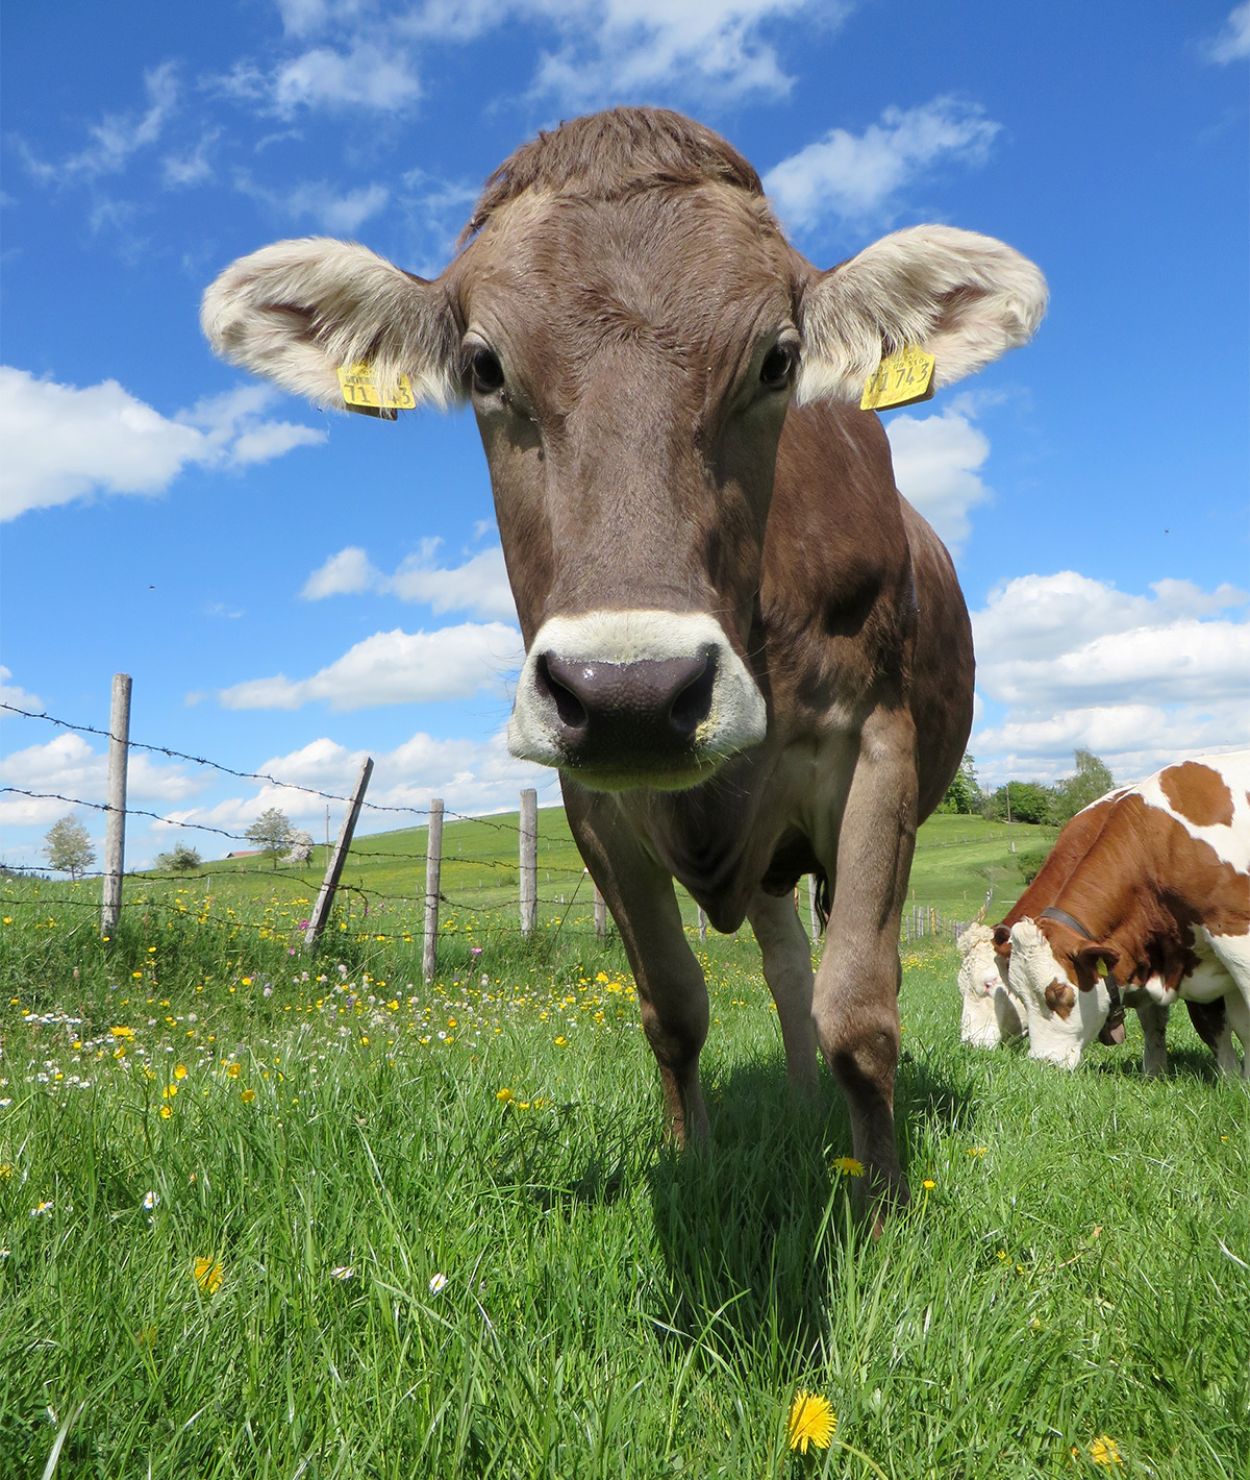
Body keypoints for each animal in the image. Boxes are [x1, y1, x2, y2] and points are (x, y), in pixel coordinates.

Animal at [201, 107, 1047, 1214]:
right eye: (484, 366)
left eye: (778, 360)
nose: (632, 693)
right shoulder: (591, 798)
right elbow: (672, 1006)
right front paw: (693, 1167)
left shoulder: (879, 750)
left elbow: (861, 1007)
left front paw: (881, 1207)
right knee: (780, 960)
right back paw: (794, 1098)